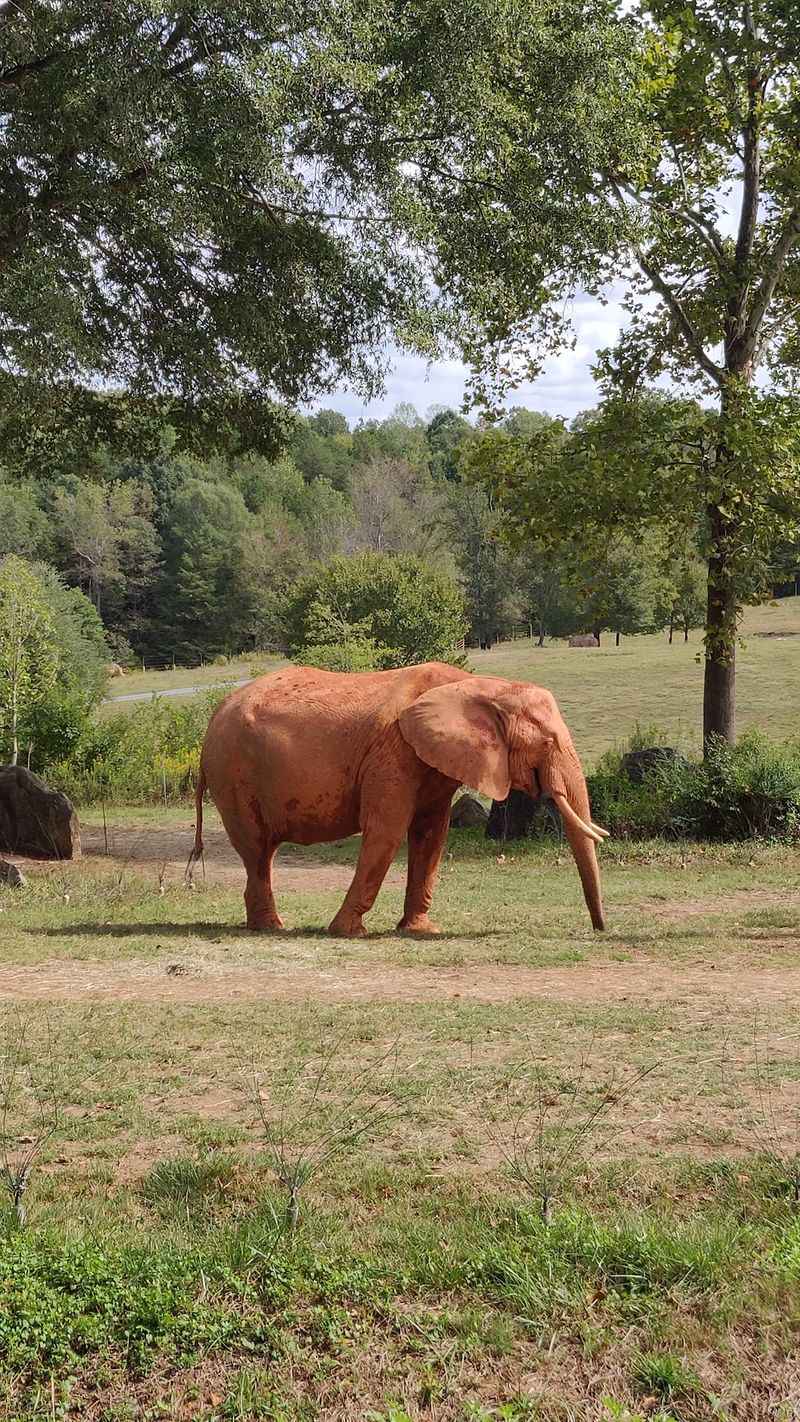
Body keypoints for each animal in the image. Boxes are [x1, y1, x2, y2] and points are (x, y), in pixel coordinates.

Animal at [192, 661, 608, 937]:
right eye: (548, 743)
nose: (598, 929)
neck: (480, 686)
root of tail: (214, 715)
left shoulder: (433, 763)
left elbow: (431, 835)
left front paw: (421, 931)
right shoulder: (394, 752)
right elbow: (387, 831)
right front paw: (347, 932)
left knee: (261, 853)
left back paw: (266, 926)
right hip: (233, 772)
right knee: (256, 849)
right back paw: (272, 928)